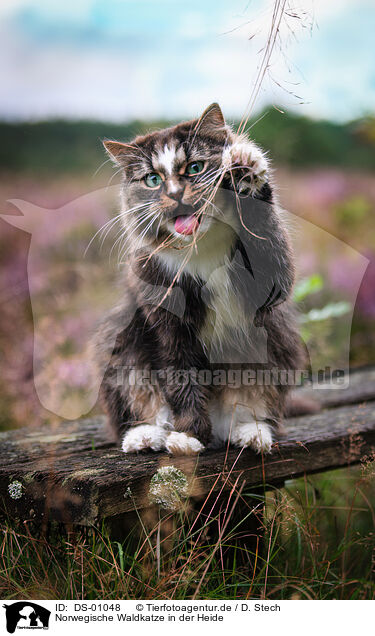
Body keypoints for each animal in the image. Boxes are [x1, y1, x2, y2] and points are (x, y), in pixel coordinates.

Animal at [94, 103, 306, 458]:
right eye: (153, 179)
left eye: (195, 167)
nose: (176, 194)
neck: (201, 246)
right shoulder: (164, 317)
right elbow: (180, 377)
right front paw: (189, 436)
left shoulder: (274, 277)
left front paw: (246, 168)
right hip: (121, 343)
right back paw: (146, 436)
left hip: (275, 342)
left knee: (254, 404)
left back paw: (251, 433)